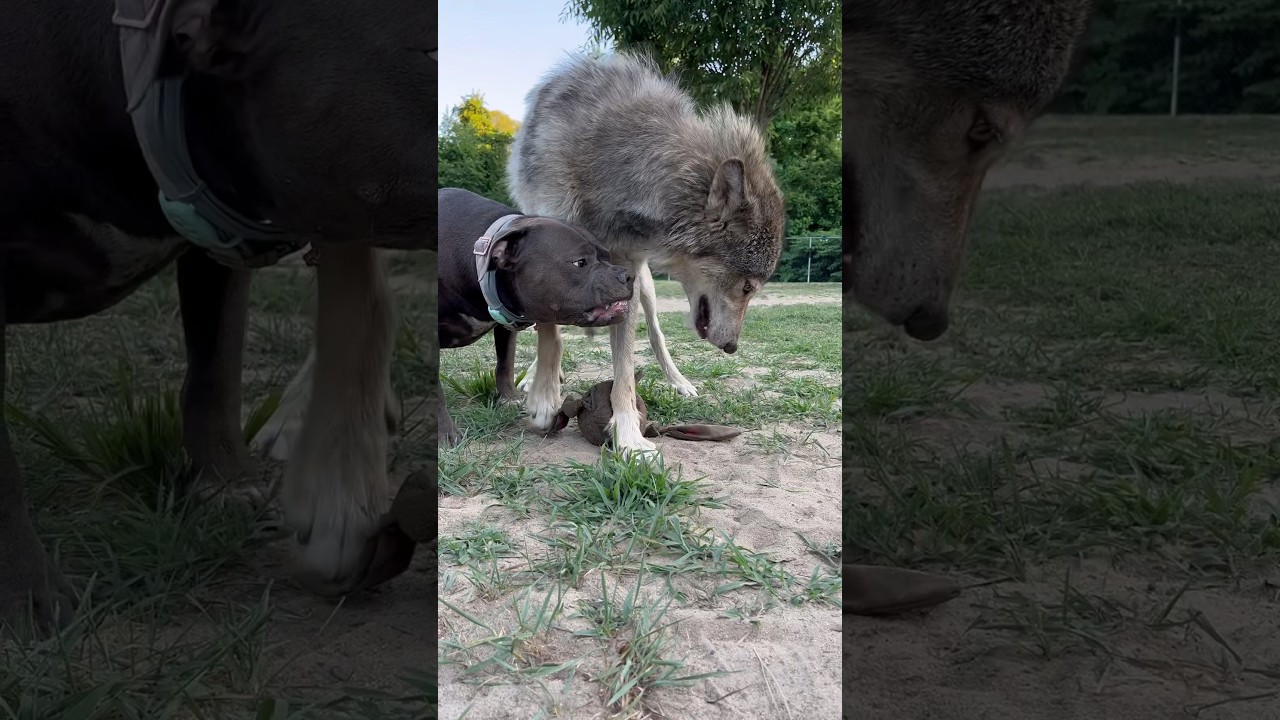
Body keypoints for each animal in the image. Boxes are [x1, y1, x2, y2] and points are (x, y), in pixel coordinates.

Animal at [507, 53, 786, 453]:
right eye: (748, 287)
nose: (732, 347)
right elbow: (549, 332)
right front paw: (544, 398)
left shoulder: (625, 276)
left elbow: (624, 374)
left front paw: (629, 437)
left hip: (646, 288)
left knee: (656, 336)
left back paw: (679, 382)